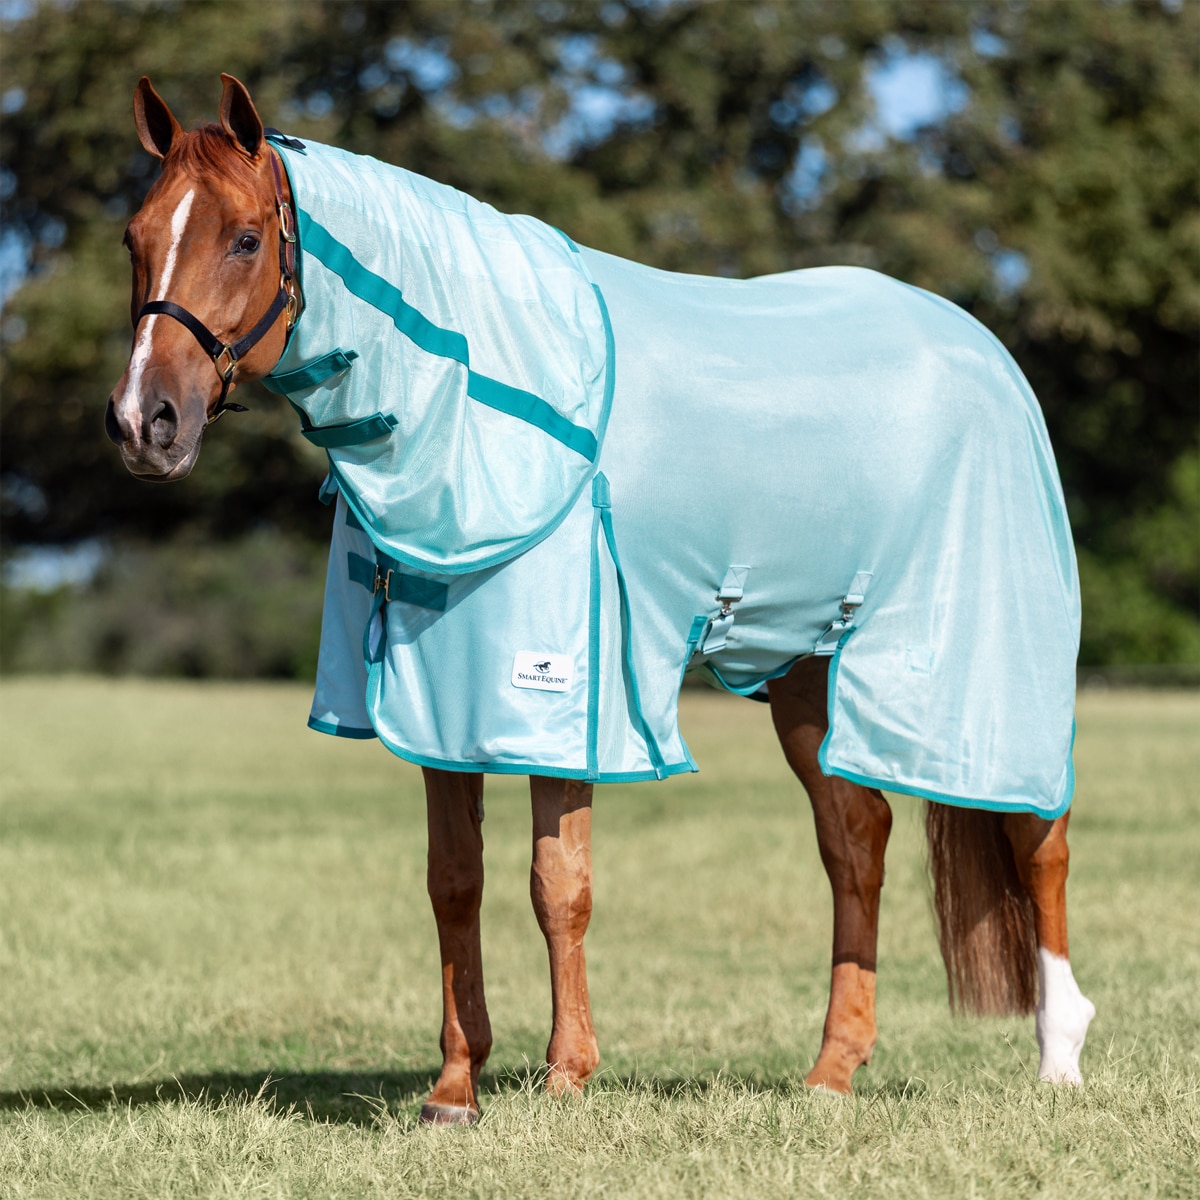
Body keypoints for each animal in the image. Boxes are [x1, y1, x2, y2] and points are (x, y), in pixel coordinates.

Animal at [106, 74, 1094, 1124]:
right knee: (856, 842)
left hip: (983, 665)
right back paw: (831, 1072)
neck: (473, 408)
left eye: (247, 238)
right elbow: (453, 882)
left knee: (1038, 835)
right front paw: (454, 1087)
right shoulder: (438, 702)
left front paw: (566, 1074)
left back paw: (1058, 1056)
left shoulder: (561, 700)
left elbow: (558, 883)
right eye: (134, 236)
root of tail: (985, 351)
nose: (142, 422)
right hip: (804, 668)